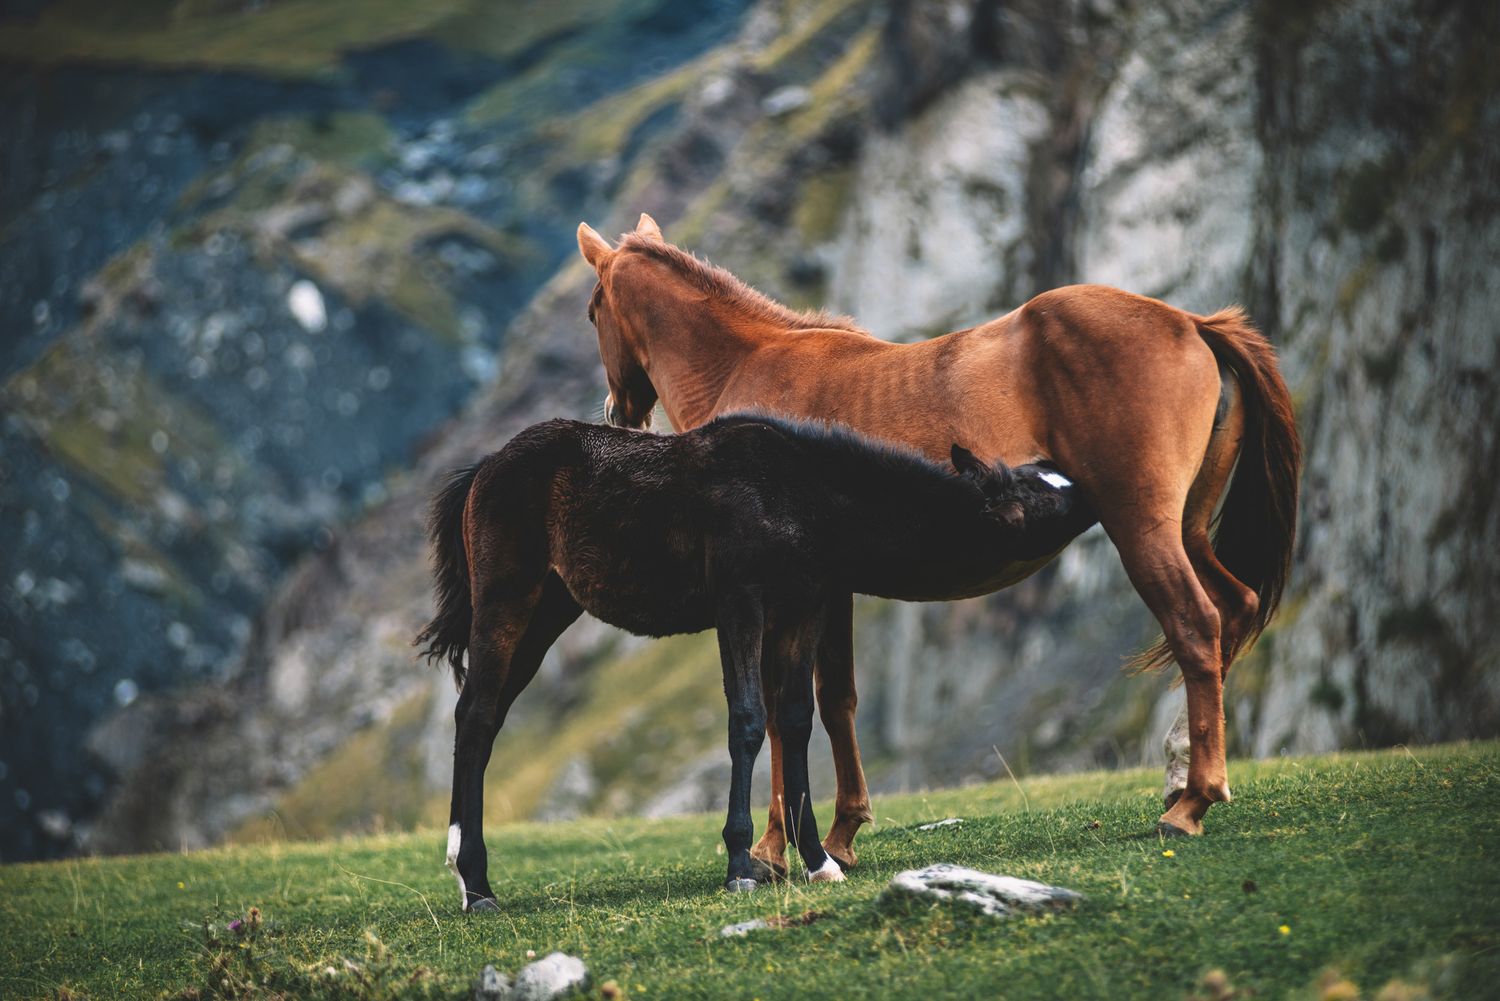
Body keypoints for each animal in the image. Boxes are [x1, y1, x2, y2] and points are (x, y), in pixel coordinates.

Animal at [416, 413, 1096, 909]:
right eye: (1043, 494)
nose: (1096, 486)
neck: (809, 498)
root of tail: (483, 470)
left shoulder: (803, 608)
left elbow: (794, 720)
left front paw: (818, 861)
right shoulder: (741, 601)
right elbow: (746, 719)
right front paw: (741, 863)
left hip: (548, 611)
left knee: (481, 719)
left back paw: (464, 872)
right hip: (507, 599)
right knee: (476, 717)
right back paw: (475, 885)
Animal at [576, 214, 1301, 871]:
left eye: (592, 309)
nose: (619, 413)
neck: (748, 370)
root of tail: (1190, 323)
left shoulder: (784, 591)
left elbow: (787, 709)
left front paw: (774, 848)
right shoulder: (829, 588)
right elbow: (834, 701)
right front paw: (841, 833)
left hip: (1143, 530)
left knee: (1195, 626)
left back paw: (1192, 801)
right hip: (1186, 531)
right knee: (1233, 610)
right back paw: (1182, 778)